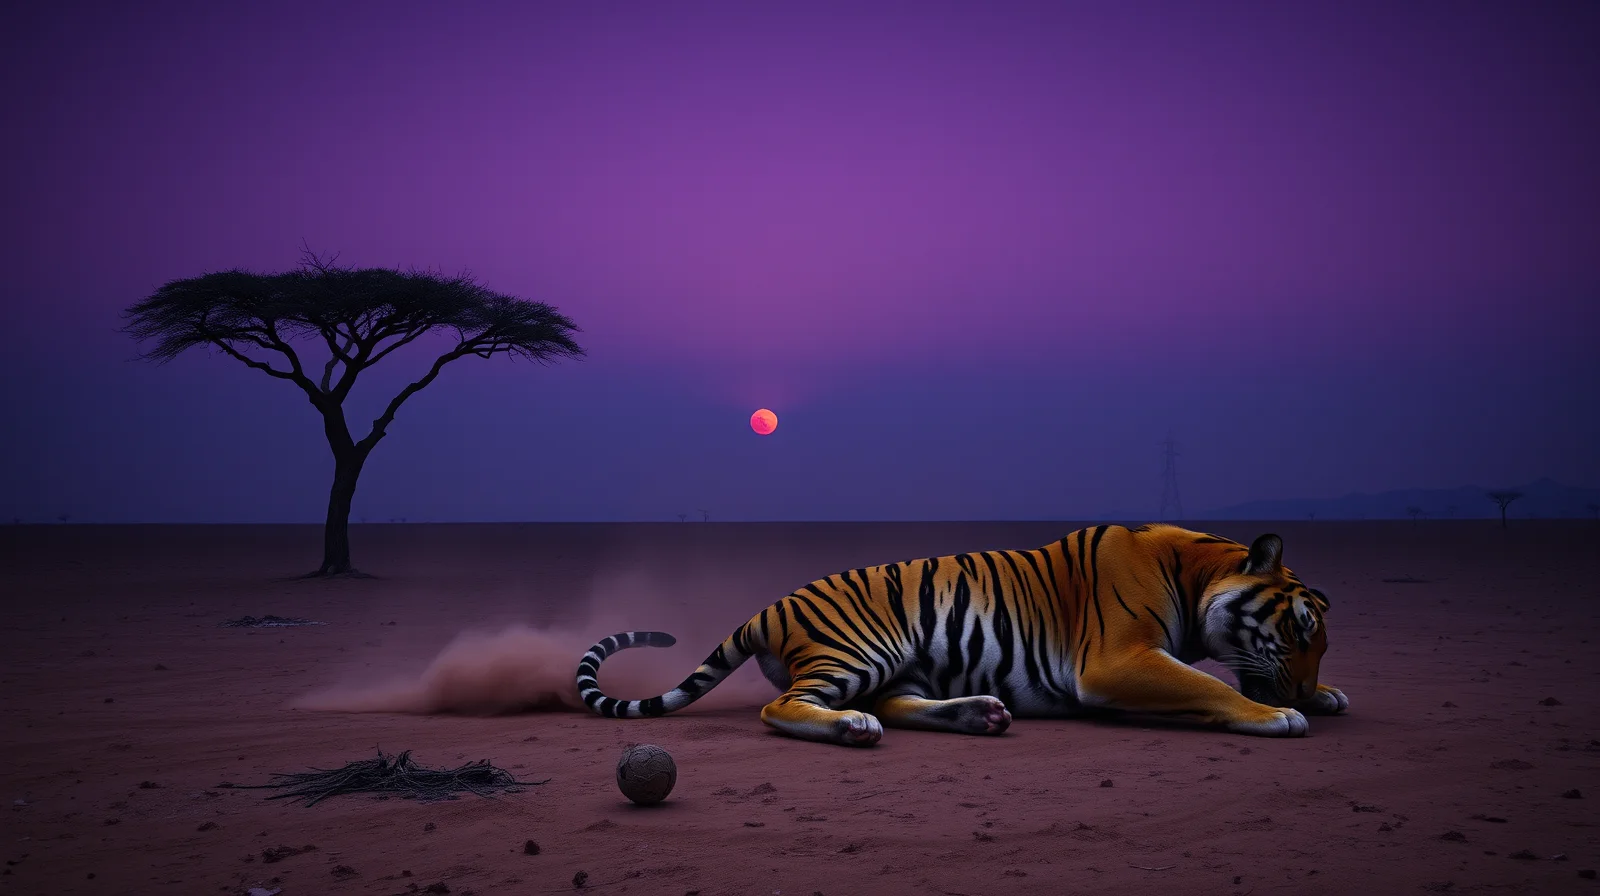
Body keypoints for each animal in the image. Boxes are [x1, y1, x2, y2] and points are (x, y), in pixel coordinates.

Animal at [574, 524, 1348, 747]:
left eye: (1322, 641)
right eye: (1299, 627)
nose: (1306, 687)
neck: (1195, 572)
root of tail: (770, 606)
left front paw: (1327, 696)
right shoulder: (1115, 661)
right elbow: (1205, 684)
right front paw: (1280, 713)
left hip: (908, 662)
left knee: (895, 704)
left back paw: (981, 715)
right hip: (865, 648)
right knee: (786, 706)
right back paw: (851, 727)